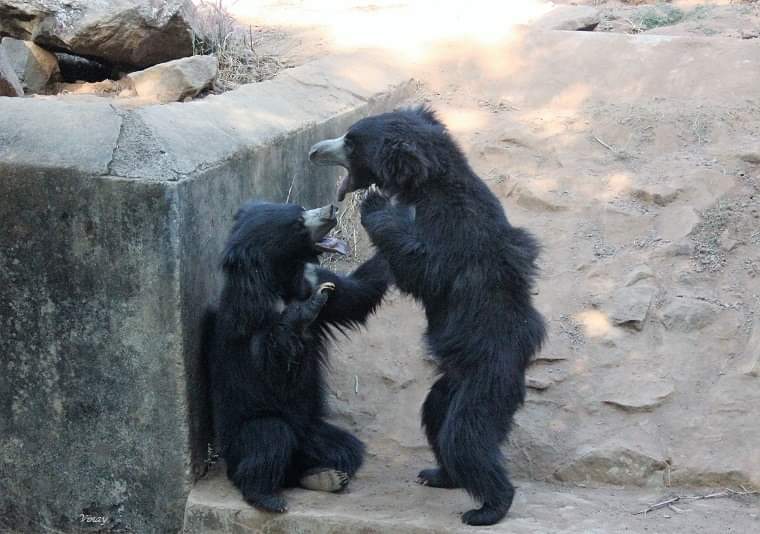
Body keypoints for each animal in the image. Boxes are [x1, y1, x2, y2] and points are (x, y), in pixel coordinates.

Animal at [206, 201, 391, 513]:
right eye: (297, 224)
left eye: (300, 207)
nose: (332, 209)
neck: (283, 278)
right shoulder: (249, 317)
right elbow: (271, 366)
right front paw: (308, 308)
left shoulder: (315, 276)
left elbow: (356, 294)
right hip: (241, 439)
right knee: (269, 436)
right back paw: (267, 496)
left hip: (311, 432)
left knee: (346, 448)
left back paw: (325, 476)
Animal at [309, 106, 547, 526]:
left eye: (350, 142)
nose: (314, 151)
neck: (428, 182)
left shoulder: (452, 227)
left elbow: (427, 270)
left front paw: (376, 205)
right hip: (452, 380)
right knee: (435, 414)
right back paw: (439, 474)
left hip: (487, 377)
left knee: (465, 435)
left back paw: (488, 506)